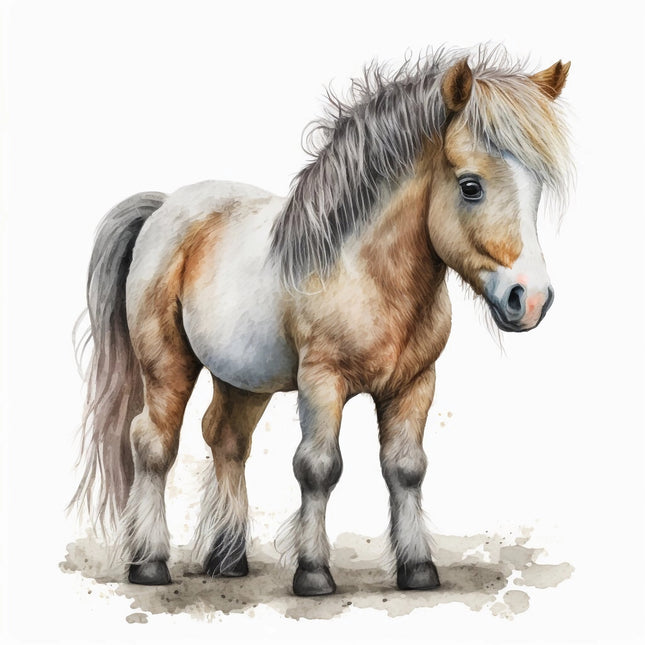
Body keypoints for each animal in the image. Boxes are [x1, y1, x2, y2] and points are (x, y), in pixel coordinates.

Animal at [70, 46, 571, 597]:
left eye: (536, 189)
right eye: (471, 186)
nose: (531, 299)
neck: (367, 272)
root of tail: (164, 209)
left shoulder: (415, 384)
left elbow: (406, 469)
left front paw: (418, 568)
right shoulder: (321, 382)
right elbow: (317, 467)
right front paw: (312, 571)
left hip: (243, 381)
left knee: (226, 440)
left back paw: (228, 558)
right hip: (167, 366)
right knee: (153, 444)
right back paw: (149, 562)